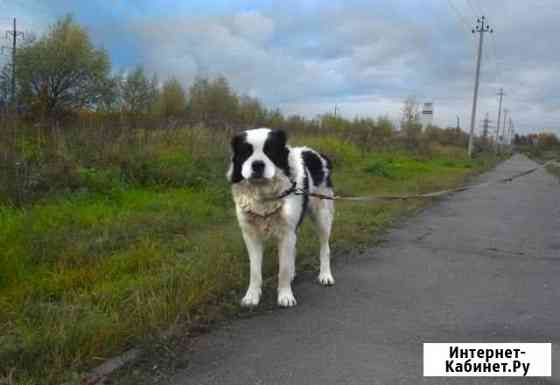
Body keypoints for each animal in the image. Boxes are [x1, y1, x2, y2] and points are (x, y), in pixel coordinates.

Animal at [226, 127, 332, 308]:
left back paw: (325, 275)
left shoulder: (286, 233)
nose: (257, 165)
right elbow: (255, 270)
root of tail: (318, 154)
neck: (263, 193)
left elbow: (283, 269)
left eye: (269, 151)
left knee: (325, 247)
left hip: (322, 215)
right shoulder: (251, 235)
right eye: (246, 152)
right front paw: (252, 296)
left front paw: (285, 295)